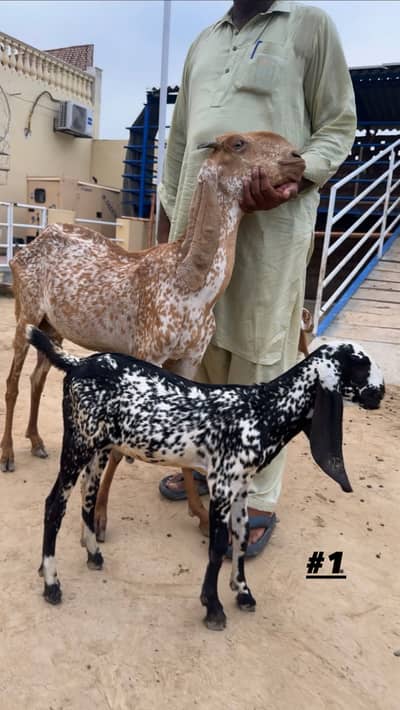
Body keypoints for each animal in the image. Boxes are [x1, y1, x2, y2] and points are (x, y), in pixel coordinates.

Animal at [1, 131, 305, 540]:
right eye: (238, 143)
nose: (297, 159)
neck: (192, 287)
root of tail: (21, 249)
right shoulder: (148, 351)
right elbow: (117, 447)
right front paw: (98, 519)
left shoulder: (189, 358)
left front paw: (200, 514)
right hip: (26, 313)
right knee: (13, 382)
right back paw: (8, 455)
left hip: (53, 327)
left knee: (37, 377)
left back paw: (36, 442)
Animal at [27, 326, 384, 630]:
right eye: (360, 364)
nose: (380, 393)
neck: (263, 410)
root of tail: (77, 363)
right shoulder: (222, 486)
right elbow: (216, 547)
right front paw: (213, 607)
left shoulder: (240, 488)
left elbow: (241, 536)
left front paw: (242, 592)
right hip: (78, 443)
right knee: (54, 504)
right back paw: (51, 582)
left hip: (98, 449)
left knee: (87, 499)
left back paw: (93, 555)